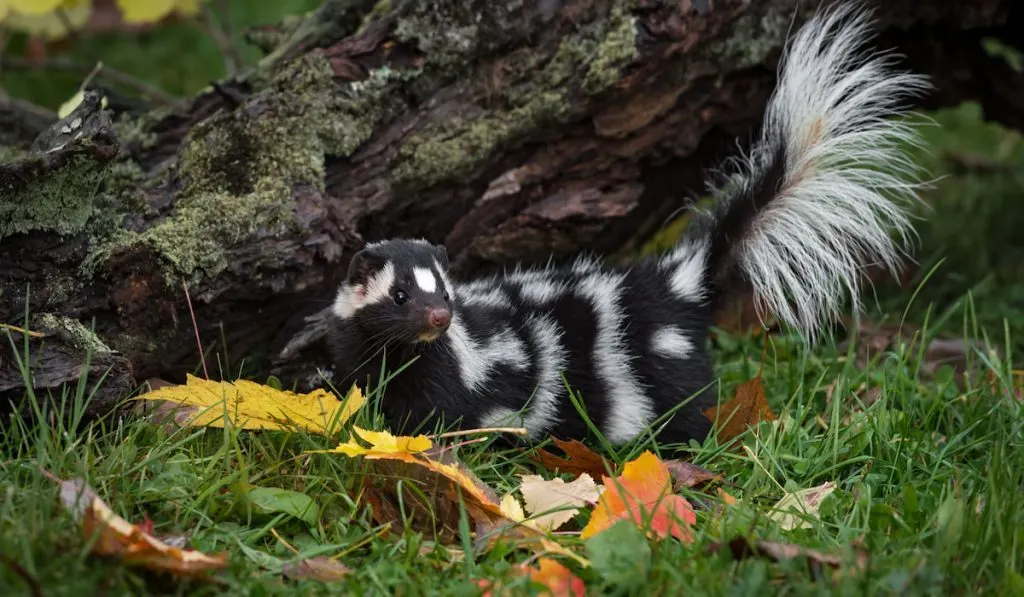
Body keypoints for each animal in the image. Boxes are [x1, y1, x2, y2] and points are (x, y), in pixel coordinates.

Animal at [325, 3, 929, 444]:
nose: (437, 318)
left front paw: (424, 445)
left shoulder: (461, 375)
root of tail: (676, 279)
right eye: (400, 296)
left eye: (445, 294)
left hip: (659, 367)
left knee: (685, 409)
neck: (410, 352)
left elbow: (446, 419)